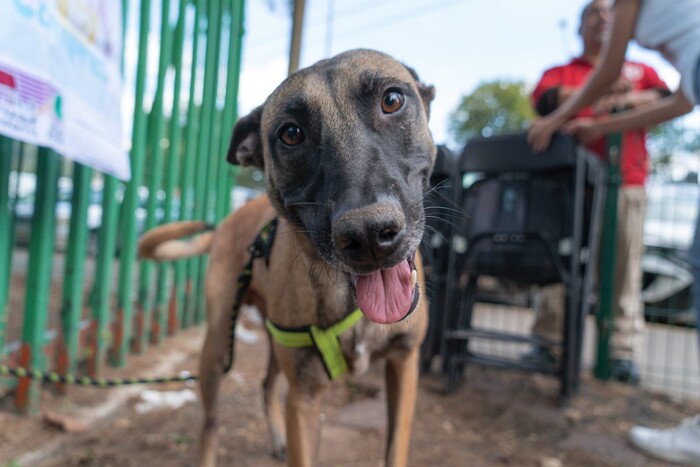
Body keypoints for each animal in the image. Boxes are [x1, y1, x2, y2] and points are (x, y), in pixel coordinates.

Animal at [139, 49, 434, 466]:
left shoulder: (404, 367)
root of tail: (228, 221)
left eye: (392, 100)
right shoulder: (304, 398)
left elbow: (395, 448)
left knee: (266, 384)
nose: (368, 236)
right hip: (217, 349)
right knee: (210, 423)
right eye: (291, 134)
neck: (352, 304)